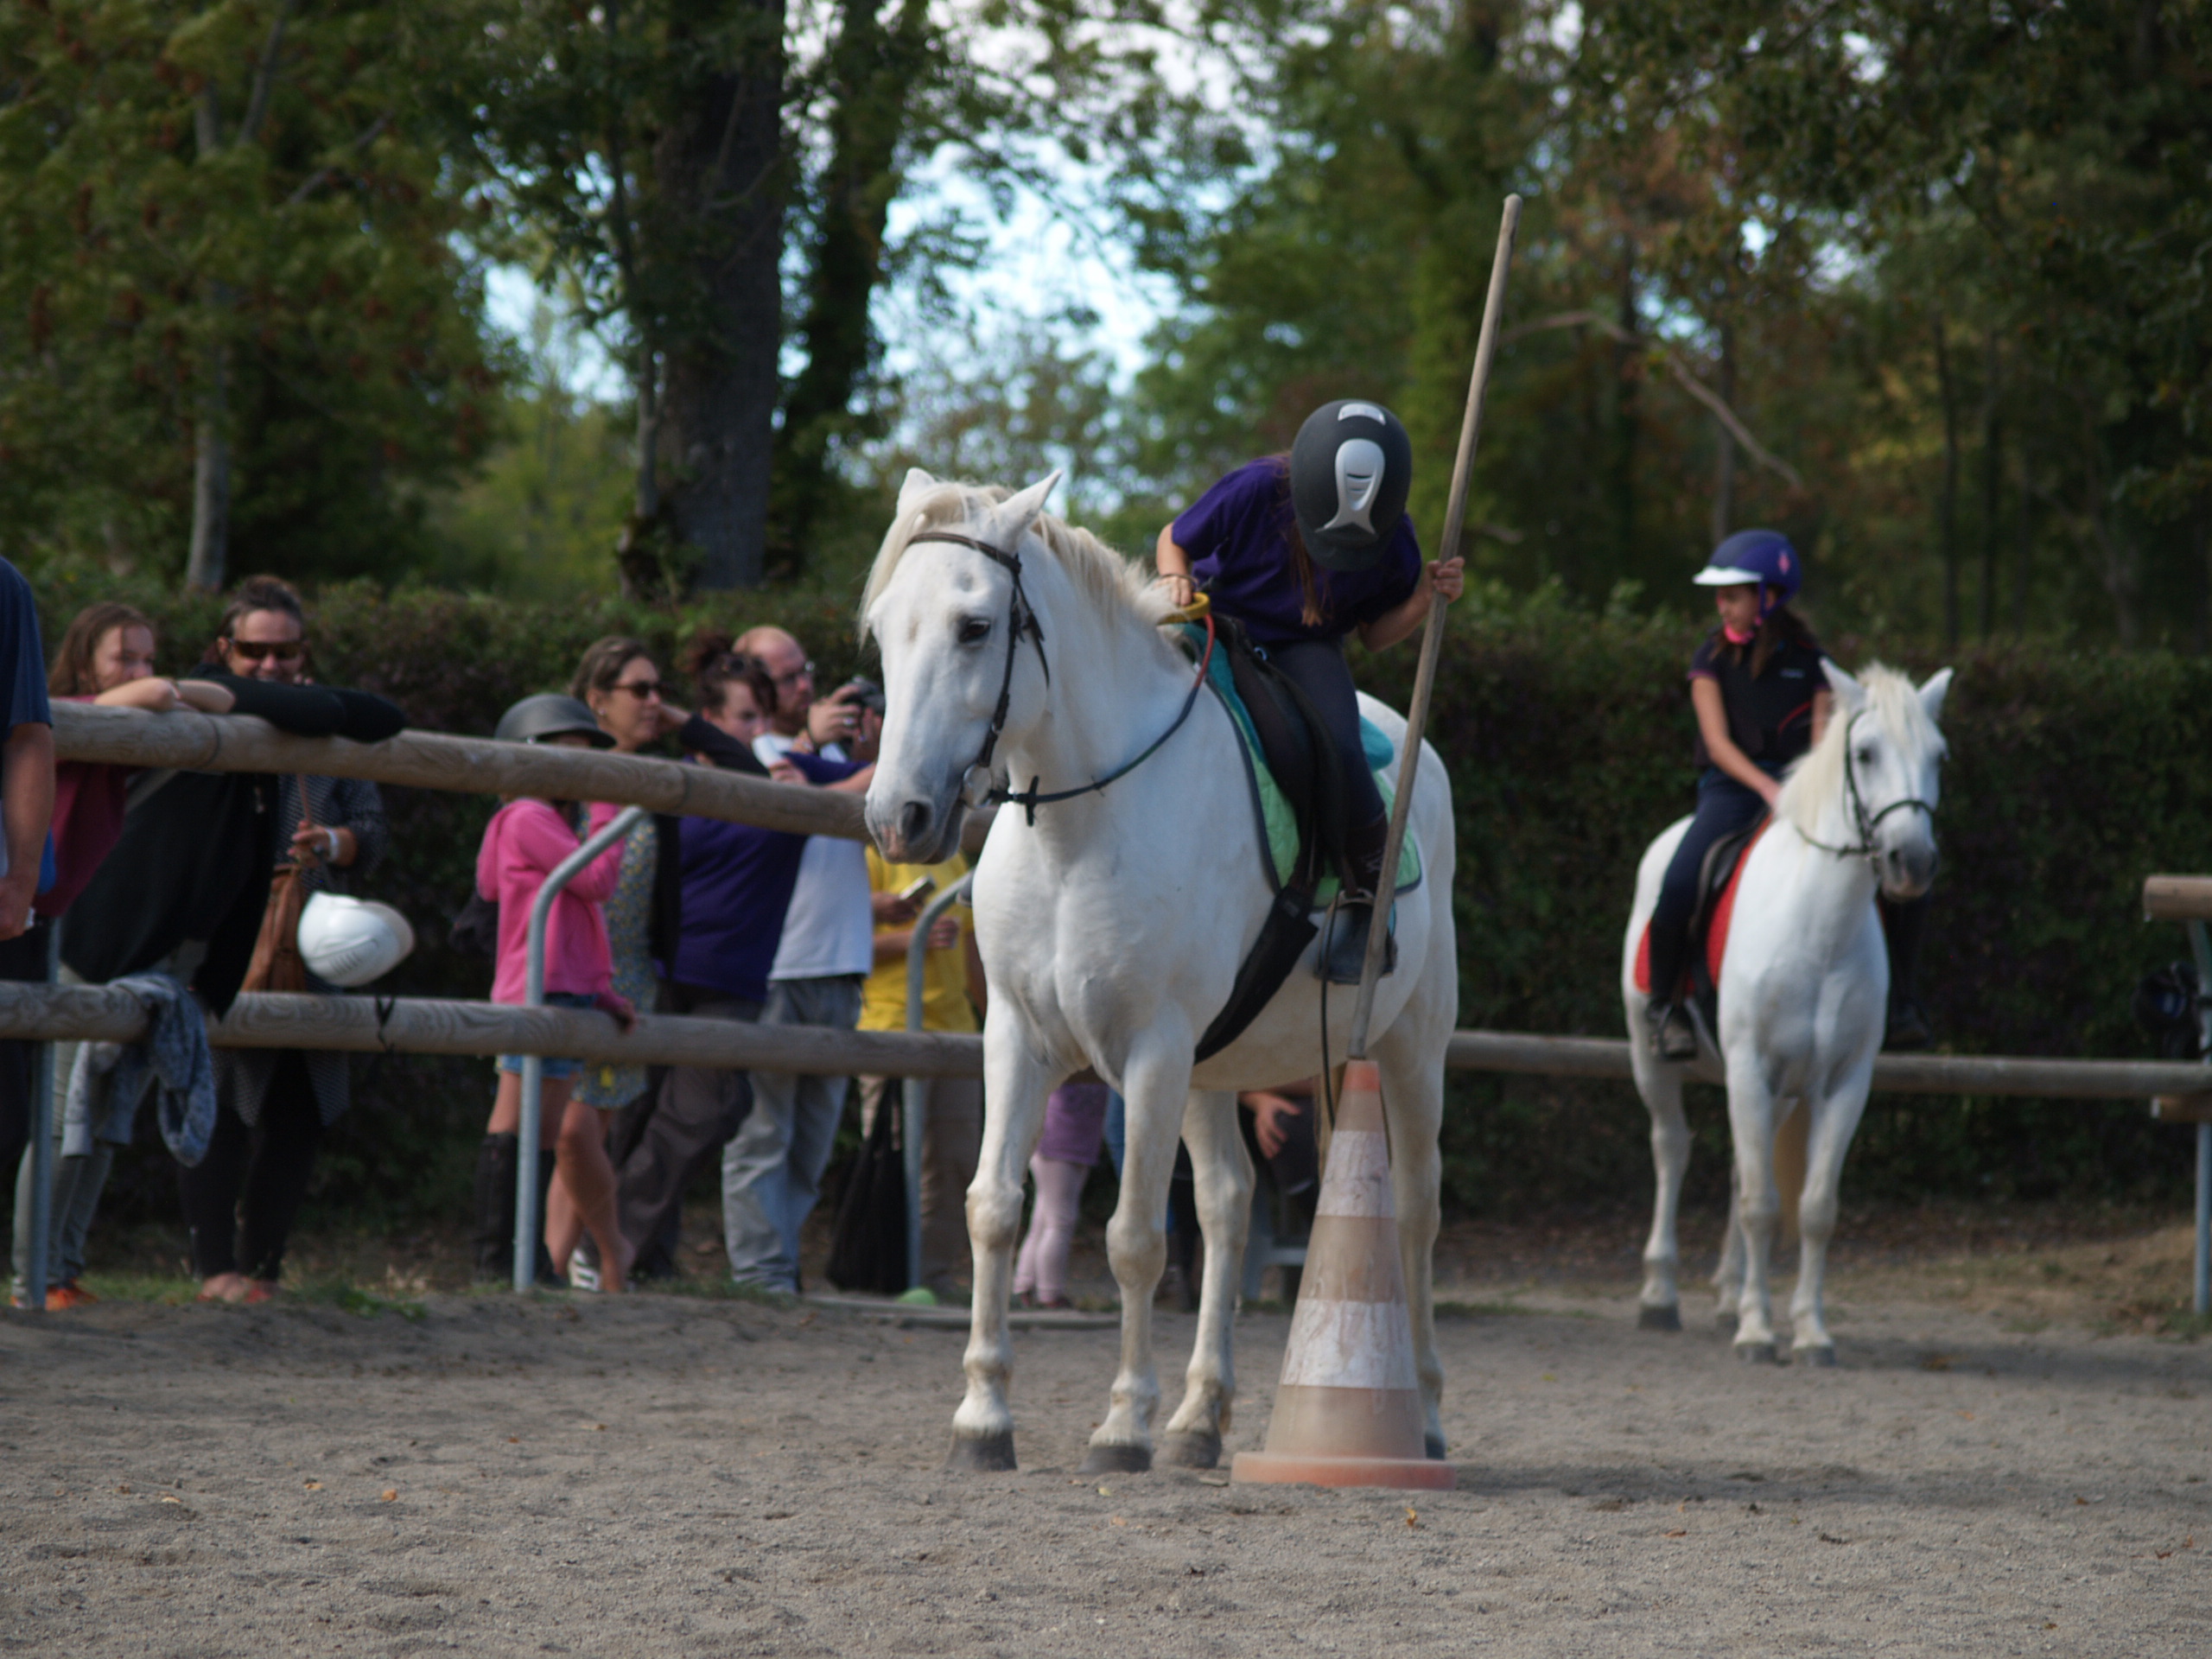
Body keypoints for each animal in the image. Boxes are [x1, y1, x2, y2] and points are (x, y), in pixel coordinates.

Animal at [867, 473, 1468, 1478]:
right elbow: (994, 1209)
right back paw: (1199, 1417)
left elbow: (1134, 1240)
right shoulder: (1018, 1040)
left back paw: (1419, 1416)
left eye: (975, 627)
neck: (1081, 826)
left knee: (1417, 1211)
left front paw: (1122, 1426)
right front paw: (984, 1418)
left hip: (1410, 1049)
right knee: (1227, 1204)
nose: (896, 818)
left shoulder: (1151, 1051)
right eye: (881, 631)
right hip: (1213, 1067)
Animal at [1618, 658, 1946, 1362]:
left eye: (1939, 755)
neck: (1820, 927)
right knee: (1671, 1148)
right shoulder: (1749, 1068)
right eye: (1864, 753)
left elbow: (1814, 1208)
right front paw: (1757, 1332)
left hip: (1779, 1091)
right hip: (1652, 1058)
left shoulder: (1844, 1082)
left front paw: (1810, 1333)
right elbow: (1761, 1205)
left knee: (1746, 1165)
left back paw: (1723, 1296)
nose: (1912, 862)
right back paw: (1660, 1294)